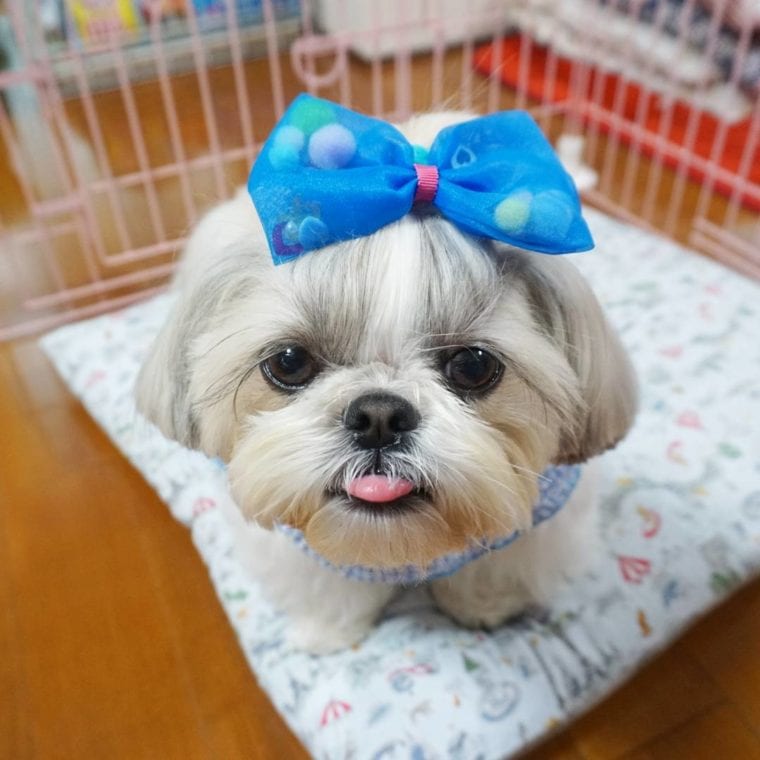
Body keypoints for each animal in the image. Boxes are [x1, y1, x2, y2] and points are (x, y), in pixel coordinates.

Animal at [135, 93, 636, 652]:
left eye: (473, 366)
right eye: (288, 362)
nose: (378, 415)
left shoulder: (540, 526)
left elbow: (493, 566)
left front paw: (484, 608)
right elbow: (325, 583)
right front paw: (327, 631)